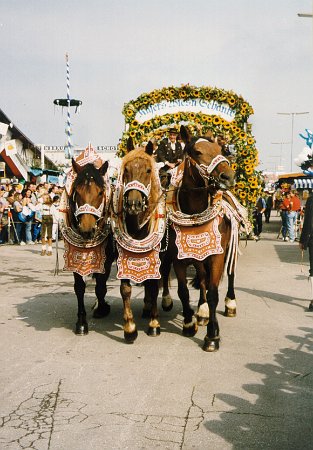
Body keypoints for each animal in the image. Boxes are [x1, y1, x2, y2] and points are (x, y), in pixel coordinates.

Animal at [59, 156, 114, 336]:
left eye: (101, 192)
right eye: (77, 191)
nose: (86, 229)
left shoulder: (106, 258)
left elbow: (101, 286)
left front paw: (102, 308)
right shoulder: (74, 255)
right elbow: (79, 287)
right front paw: (81, 322)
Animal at [111, 140, 167, 342]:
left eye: (148, 170)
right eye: (126, 169)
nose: (133, 204)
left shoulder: (157, 259)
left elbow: (153, 286)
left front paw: (154, 324)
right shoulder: (122, 259)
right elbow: (125, 289)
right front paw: (129, 328)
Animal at [163, 124, 249, 352]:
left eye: (221, 150)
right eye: (198, 152)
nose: (228, 176)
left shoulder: (217, 256)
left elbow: (212, 293)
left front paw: (212, 336)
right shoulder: (180, 257)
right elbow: (184, 291)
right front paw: (189, 323)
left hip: (229, 250)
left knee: (230, 275)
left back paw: (230, 303)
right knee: (201, 278)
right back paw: (201, 313)